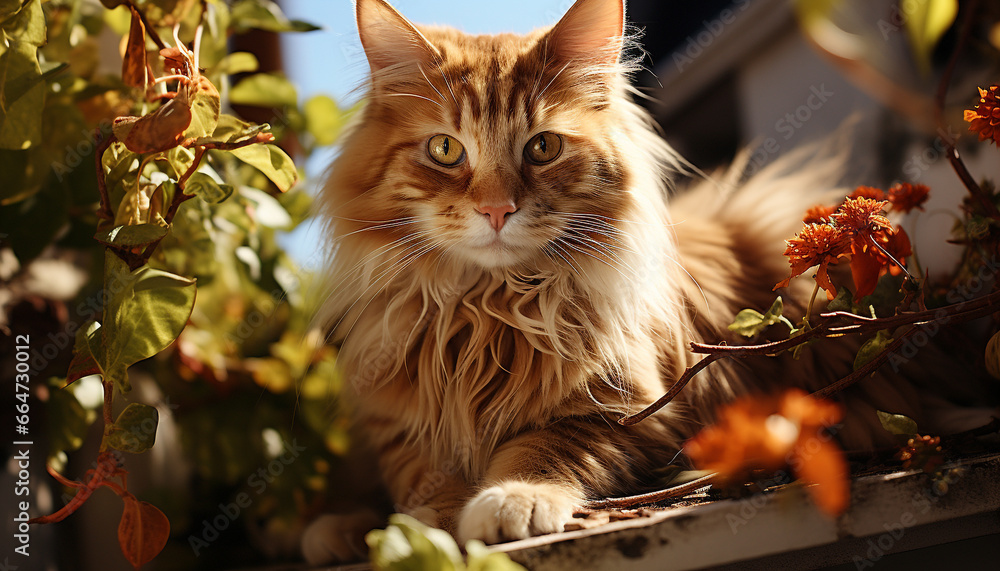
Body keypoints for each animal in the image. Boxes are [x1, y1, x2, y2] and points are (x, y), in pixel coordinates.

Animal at [302, 0, 992, 564]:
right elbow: (422, 478)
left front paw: (509, 501)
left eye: (542, 148)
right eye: (445, 150)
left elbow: (542, 449)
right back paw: (331, 531)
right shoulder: (395, 425)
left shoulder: (626, 410)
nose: (497, 210)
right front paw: (425, 521)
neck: (485, 308)